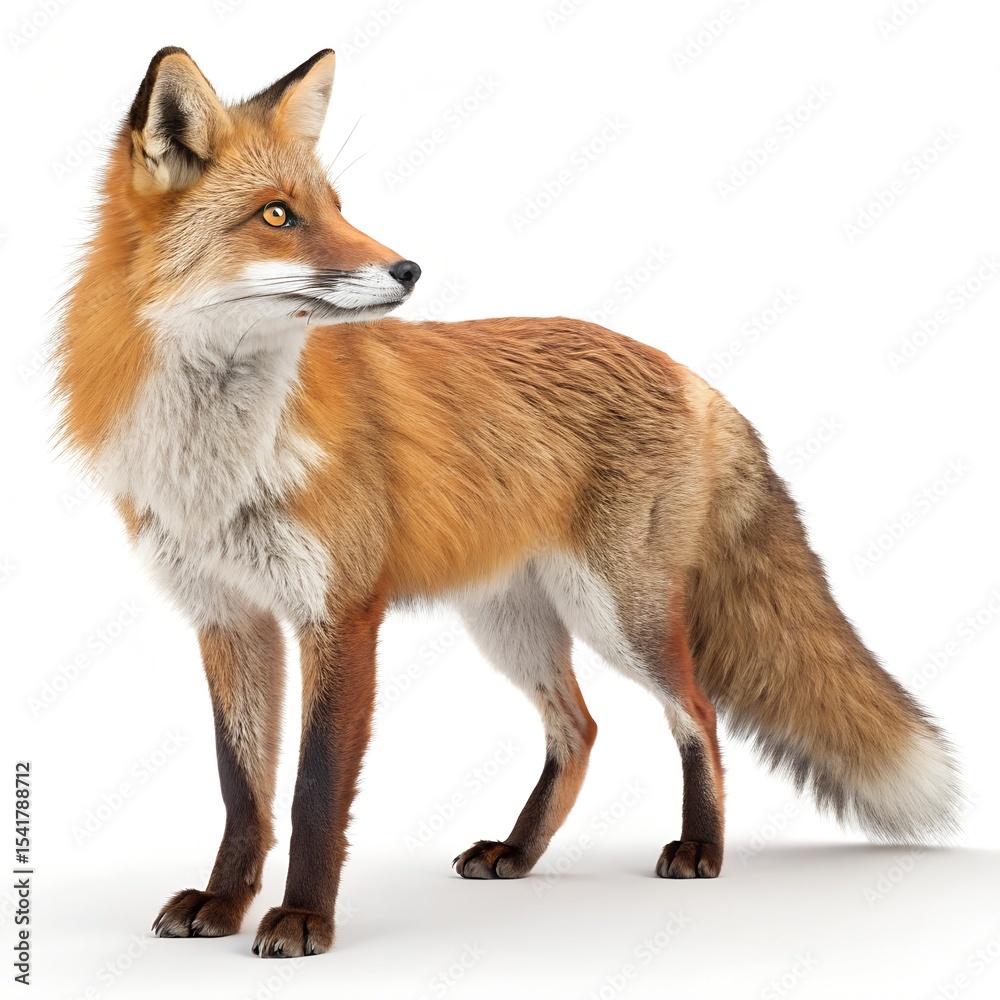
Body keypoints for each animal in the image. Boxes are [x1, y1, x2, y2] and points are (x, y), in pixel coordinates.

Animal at [52, 47, 961, 958]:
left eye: (337, 208)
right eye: (278, 215)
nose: (408, 268)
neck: (219, 459)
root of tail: (687, 373)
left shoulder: (340, 612)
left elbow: (314, 792)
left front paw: (304, 917)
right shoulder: (228, 617)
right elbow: (242, 788)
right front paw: (223, 901)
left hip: (619, 615)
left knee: (696, 710)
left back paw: (701, 847)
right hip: (509, 622)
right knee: (580, 728)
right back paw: (519, 854)